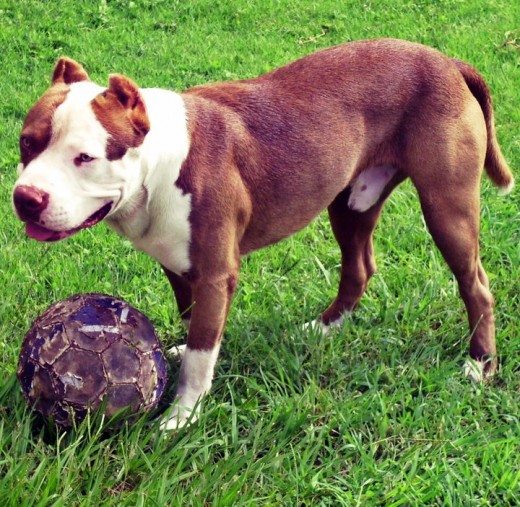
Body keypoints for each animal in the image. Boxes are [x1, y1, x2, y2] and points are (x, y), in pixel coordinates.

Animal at [11, 37, 512, 430]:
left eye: (85, 158)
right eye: (26, 142)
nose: (25, 197)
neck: (157, 163)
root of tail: (447, 61)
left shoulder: (215, 272)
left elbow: (201, 354)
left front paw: (181, 417)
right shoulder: (177, 262)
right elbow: (195, 326)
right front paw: (182, 351)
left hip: (446, 205)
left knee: (475, 285)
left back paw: (479, 364)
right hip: (352, 201)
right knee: (359, 267)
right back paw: (325, 328)